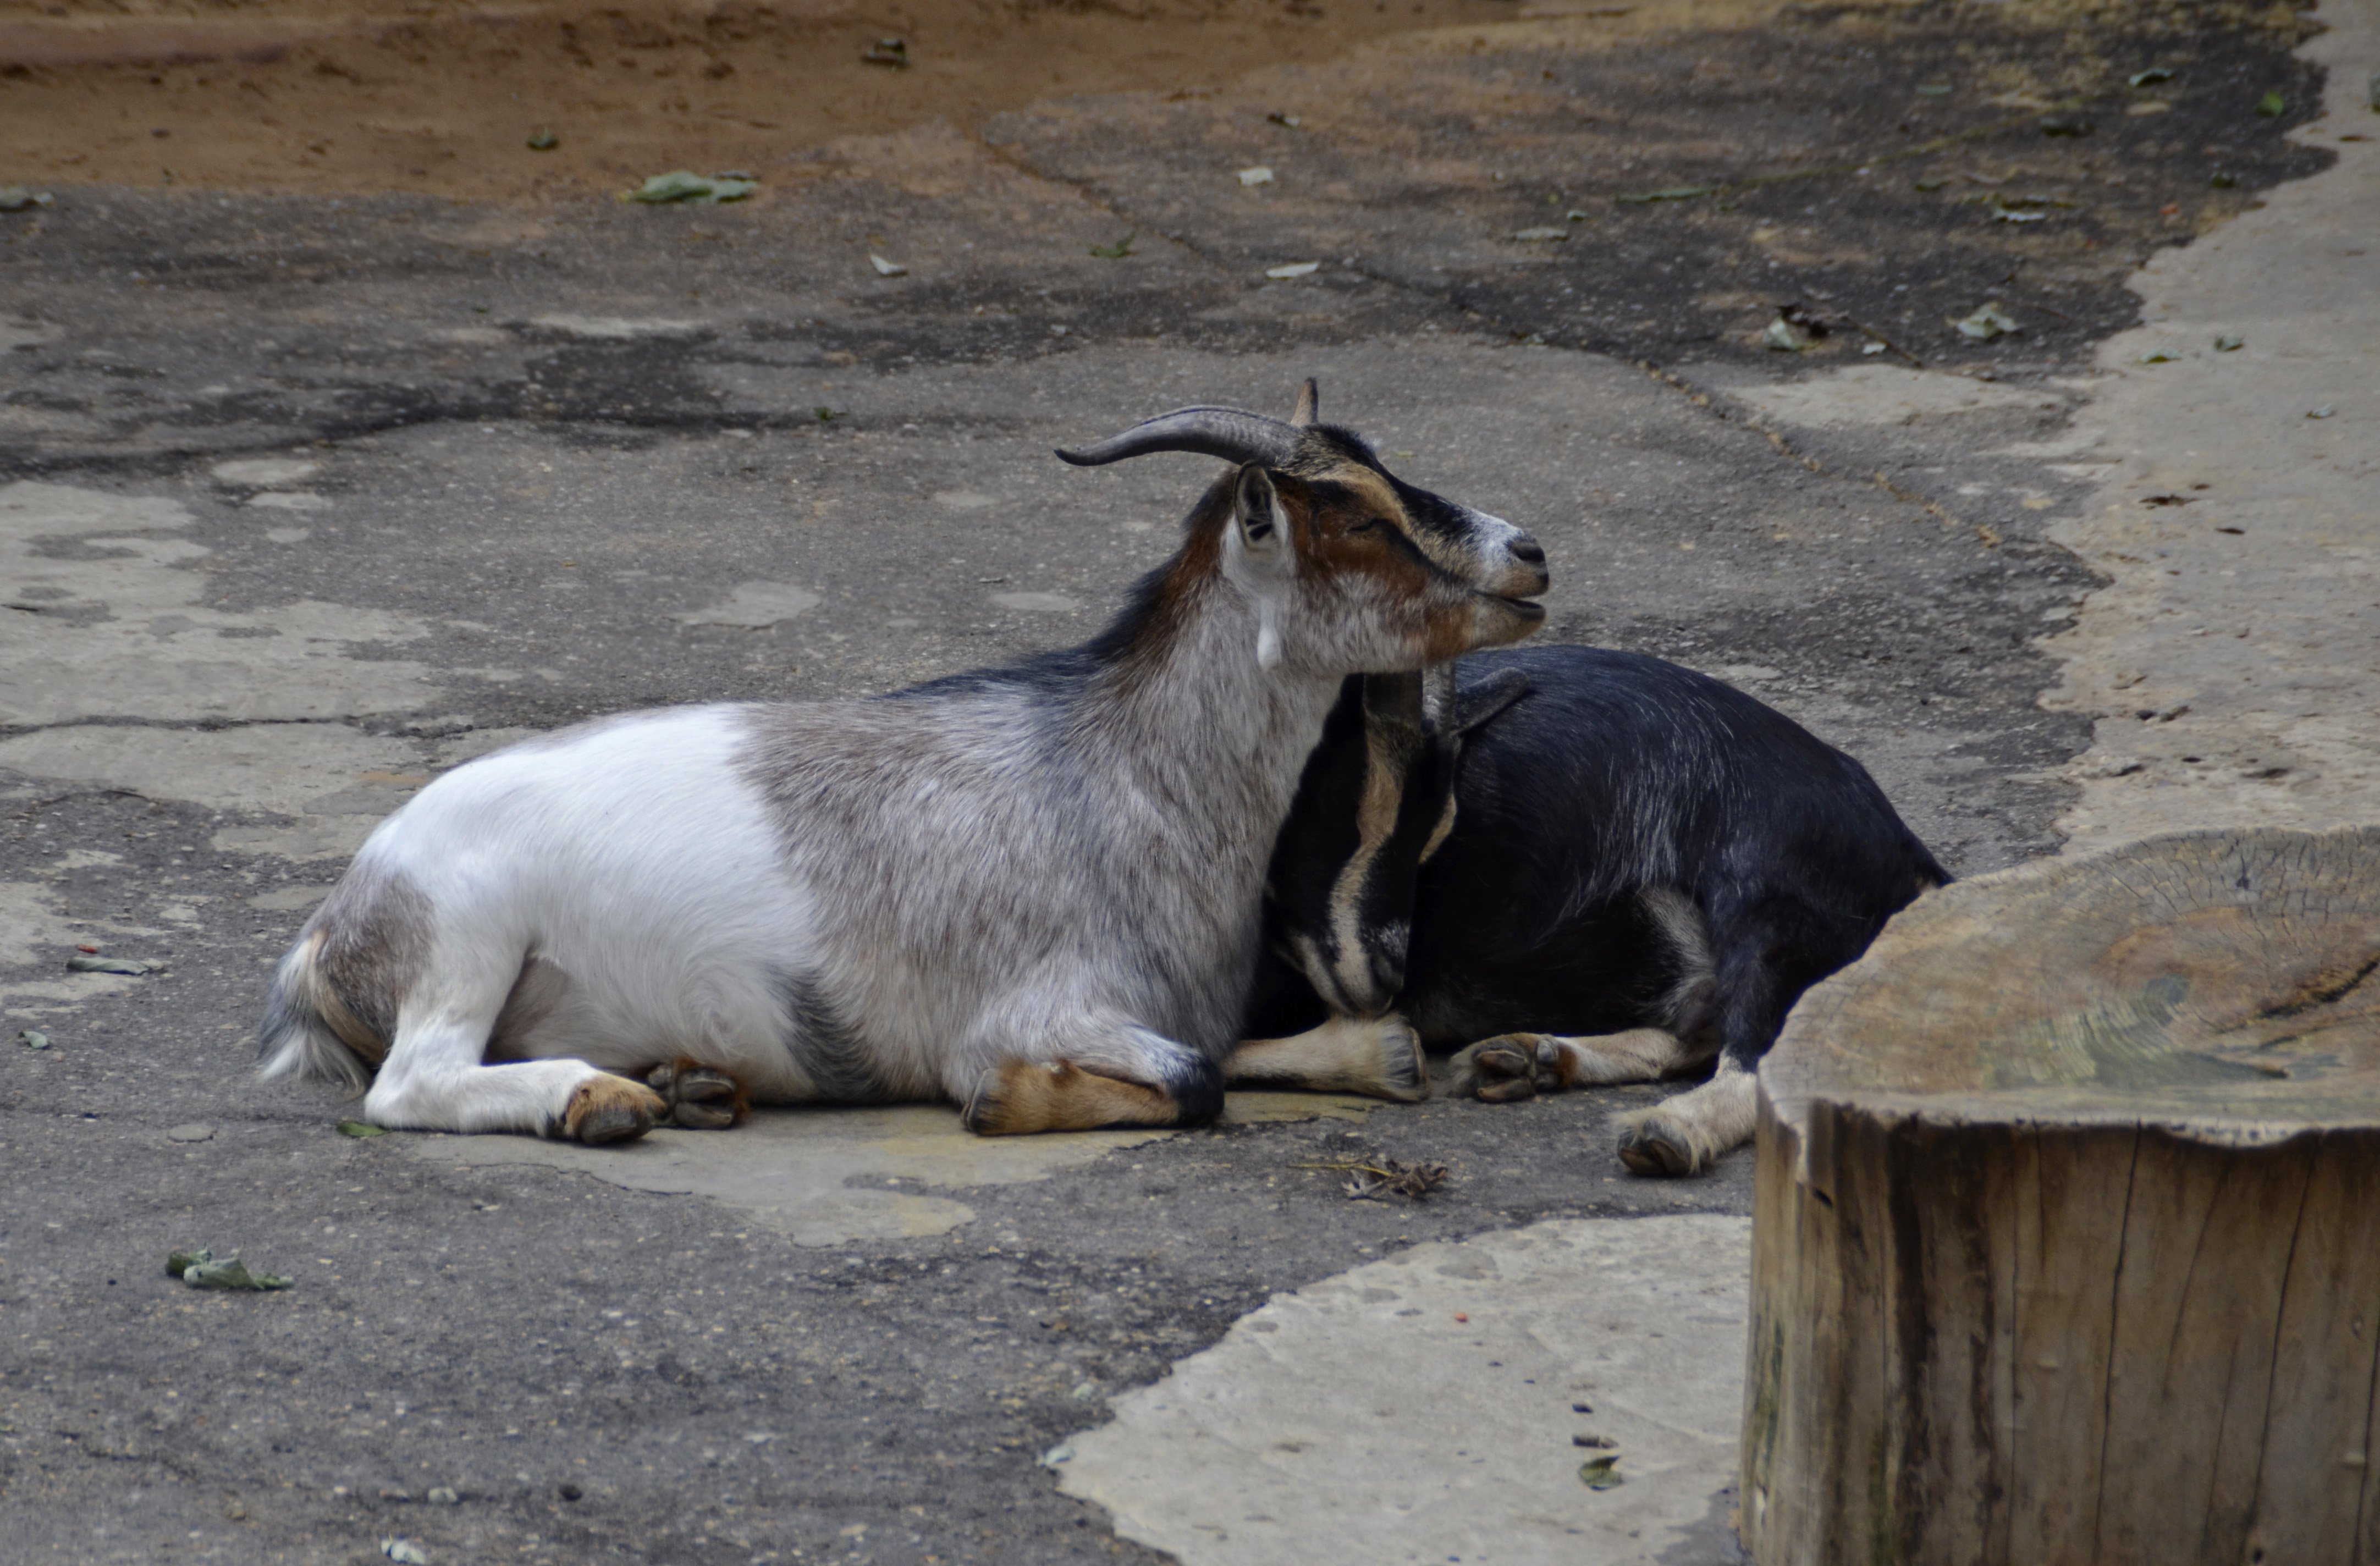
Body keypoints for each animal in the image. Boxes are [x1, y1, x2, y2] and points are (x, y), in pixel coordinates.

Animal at [260, 378, 1551, 1133]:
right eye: (1358, 517)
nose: (1528, 554)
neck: (1112, 774)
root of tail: (337, 922)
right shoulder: (1044, 999)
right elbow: (1192, 1079)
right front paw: (1007, 1100)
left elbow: (1285, 1049)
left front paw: (1374, 1050)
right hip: (465, 934)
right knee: (414, 1081)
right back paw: (603, 1098)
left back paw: (689, 1082)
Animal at [1237, 642, 1942, 1166]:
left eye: (1428, 836)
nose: (1383, 982)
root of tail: (1907, 855)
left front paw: (1381, 1056)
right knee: (1695, 1025)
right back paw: (1533, 1058)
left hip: (1769, 896)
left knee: (1756, 1050)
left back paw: (1668, 1131)